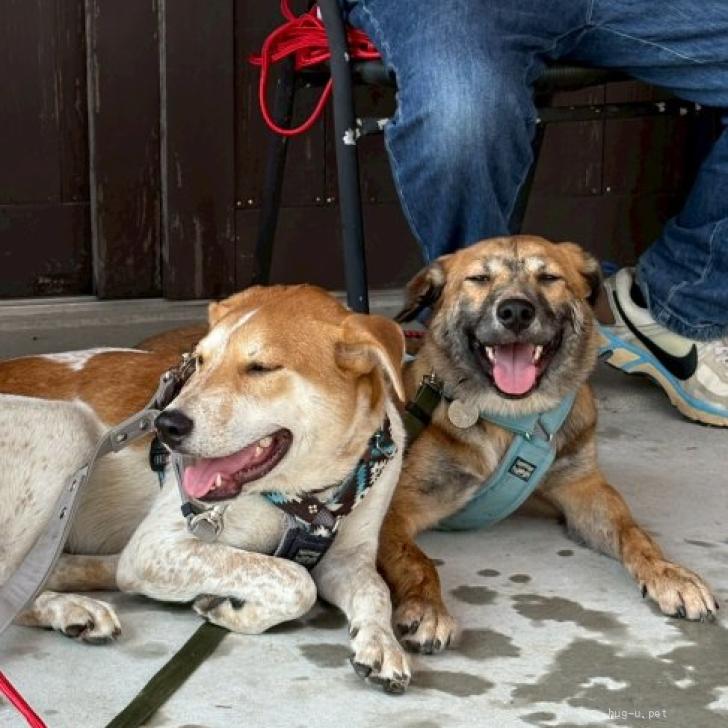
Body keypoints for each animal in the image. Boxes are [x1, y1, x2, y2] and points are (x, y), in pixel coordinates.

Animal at [0, 285, 411, 692]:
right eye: (199, 360)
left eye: (261, 368)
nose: (166, 426)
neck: (307, 492)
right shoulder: (153, 548)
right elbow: (296, 580)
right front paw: (231, 611)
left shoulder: (348, 559)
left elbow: (376, 590)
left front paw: (381, 642)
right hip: (66, 427)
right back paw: (71, 606)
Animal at [377, 235, 718, 653]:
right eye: (479, 279)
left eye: (549, 278)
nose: (515, 312)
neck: (513, 415)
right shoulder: (394, 506)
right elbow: (415, 560)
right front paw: (427, 608)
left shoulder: (583, 490)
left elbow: (634, 533)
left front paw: (670, 574)